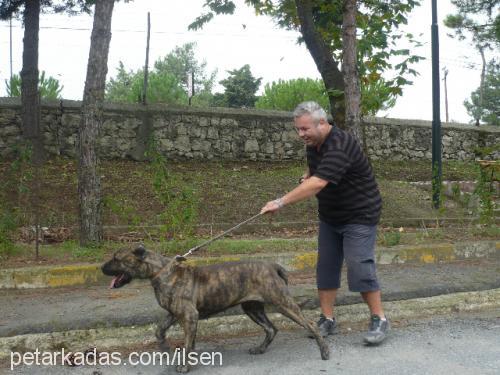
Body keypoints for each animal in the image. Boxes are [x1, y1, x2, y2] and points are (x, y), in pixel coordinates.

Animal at [101, 247, 328, 374]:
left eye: (116, 258)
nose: (102, 268)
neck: (160, 272)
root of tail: (273, 266)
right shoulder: (175, 314)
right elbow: (159, 330)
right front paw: (166, 349)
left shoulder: (188, 316)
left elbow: (186, 344)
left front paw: (185, 365)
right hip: (252, 308)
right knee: (271, 328)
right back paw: (260, 349)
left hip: (283, 303)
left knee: (310, 324)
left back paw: (324, 351)